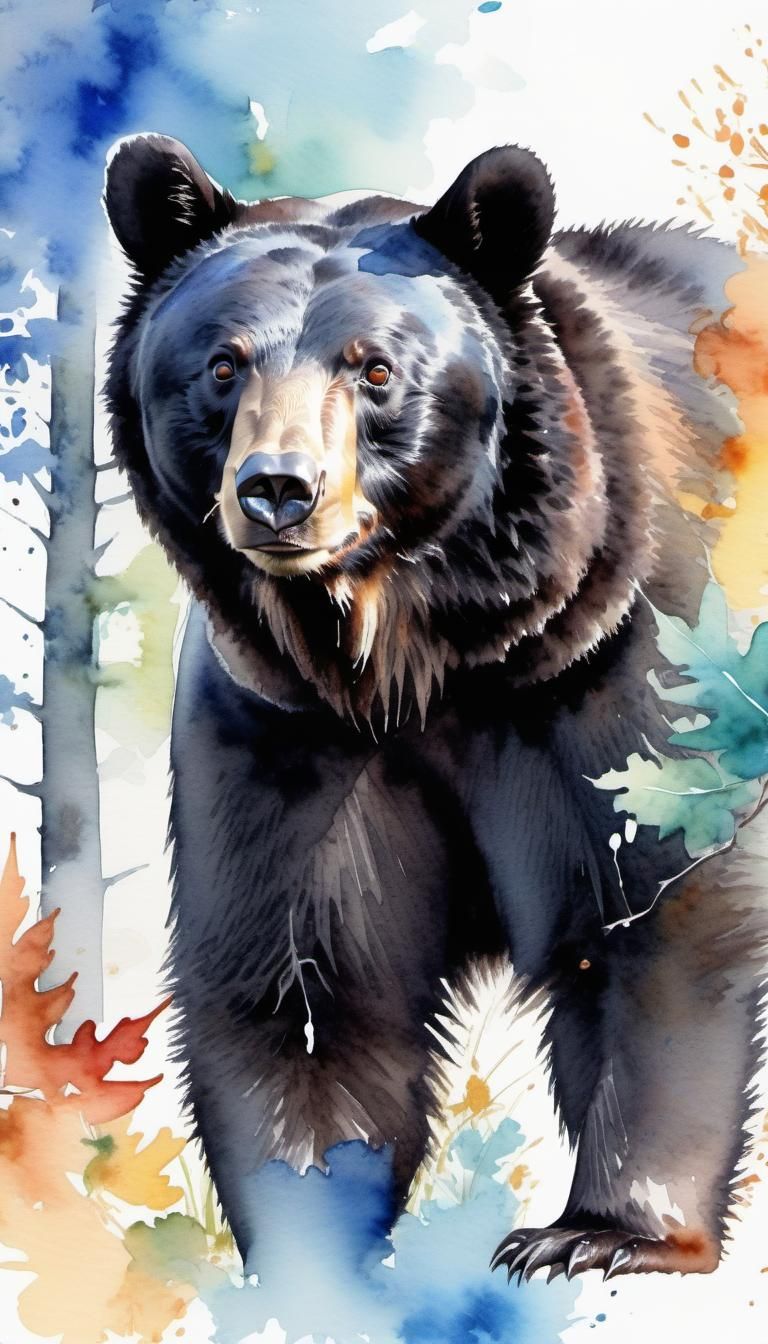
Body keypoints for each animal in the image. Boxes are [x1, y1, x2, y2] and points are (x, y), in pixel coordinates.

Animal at [103, 134, 766, 1290]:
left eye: (374, 369)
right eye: (223, 365)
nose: (279, 490)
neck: (430, 654)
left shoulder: (632, 653)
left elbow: (658, 911)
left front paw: (599, 1234)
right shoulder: (286, 723)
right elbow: (307, 973)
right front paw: (312, 1243)